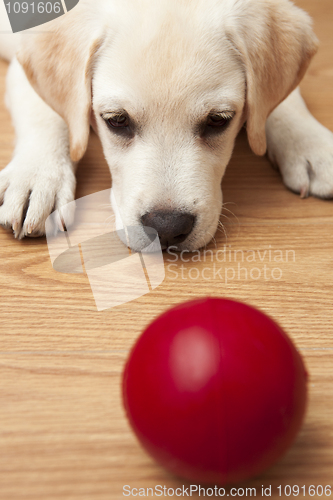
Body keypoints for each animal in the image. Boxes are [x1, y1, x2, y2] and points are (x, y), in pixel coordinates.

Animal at [0, 0, 330, 250]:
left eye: (218, 120)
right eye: (117, 120)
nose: (167, 227)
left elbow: (283, 102)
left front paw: (311, 144)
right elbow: (45, 112)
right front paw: (36, 178)